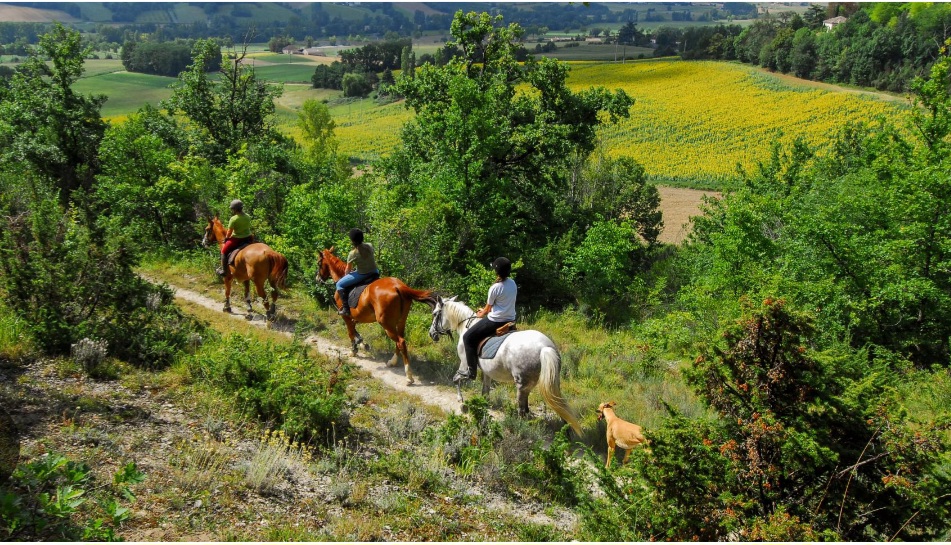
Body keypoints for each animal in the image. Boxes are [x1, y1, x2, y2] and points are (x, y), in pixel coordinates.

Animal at [318, 249, 440, 384]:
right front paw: (362, 344)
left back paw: (408, 376)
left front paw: (354, 350)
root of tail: (399, 286)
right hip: (400, 322)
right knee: (400, 341)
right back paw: (392, 362)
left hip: (386, 324)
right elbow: (355, 332)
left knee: (400, 342)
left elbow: (350, 333)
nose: (318, 279)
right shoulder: (353, 318)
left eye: (319, 263)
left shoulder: (346, 317)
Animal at [430, 296, 580, 436]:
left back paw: (520, 429)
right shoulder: (487, 372)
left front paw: (461, 402)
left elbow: (456, 379)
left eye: (435, 313)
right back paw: (565, 431)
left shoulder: (464, 364)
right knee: (556, 402)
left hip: (522, 384)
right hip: (547, 381)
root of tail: (545, 347)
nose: (431, 334)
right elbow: (485, 392)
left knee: (523, 410)